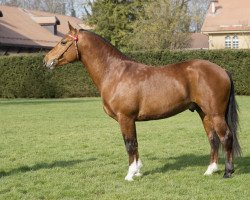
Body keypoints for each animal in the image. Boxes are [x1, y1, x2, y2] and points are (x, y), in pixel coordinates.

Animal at [44, 22, 241, 181]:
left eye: (63, 42)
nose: (46, 60)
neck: (115, 73)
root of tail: (222, 70)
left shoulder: (125, 118)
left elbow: (129, 144)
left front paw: (130, 174)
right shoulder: (130, 120)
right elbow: (136, 143)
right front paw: (138, 171)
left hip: (215, 114)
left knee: (226, 137)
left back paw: (227, 172)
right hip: (204, 113)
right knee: (213, 139)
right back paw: (210, 170)